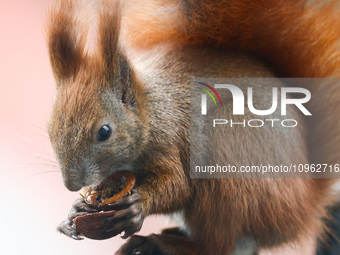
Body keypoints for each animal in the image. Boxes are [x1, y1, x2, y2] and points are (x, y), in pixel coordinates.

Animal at [45, 0, 340, 255]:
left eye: (104, 132)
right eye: (49, 129)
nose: (71, 184)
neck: (151, 110)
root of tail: (304, 209)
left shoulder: (169, 138)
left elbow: (179, 187)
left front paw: (139, 206)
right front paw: (74, 212)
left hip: (230, 162)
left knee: (217, 243)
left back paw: (163, 243)